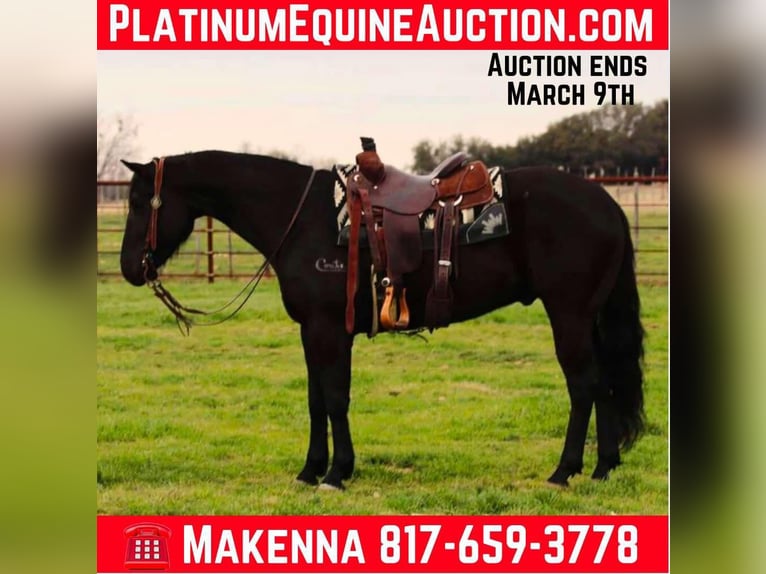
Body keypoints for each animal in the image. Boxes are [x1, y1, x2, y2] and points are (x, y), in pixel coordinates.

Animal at [119, 150, 645, 490]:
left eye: (141, 202)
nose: (128, 268)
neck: (304, 219)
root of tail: (608, 204)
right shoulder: (314, 331)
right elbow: (317, 399)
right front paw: (312, 470)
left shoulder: (328, 329)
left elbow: (334, 398)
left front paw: (335, 474)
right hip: (586, 318)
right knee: (603, 384)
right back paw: (603, 467)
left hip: (568, 315)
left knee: (583, 385)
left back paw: (565, 471)